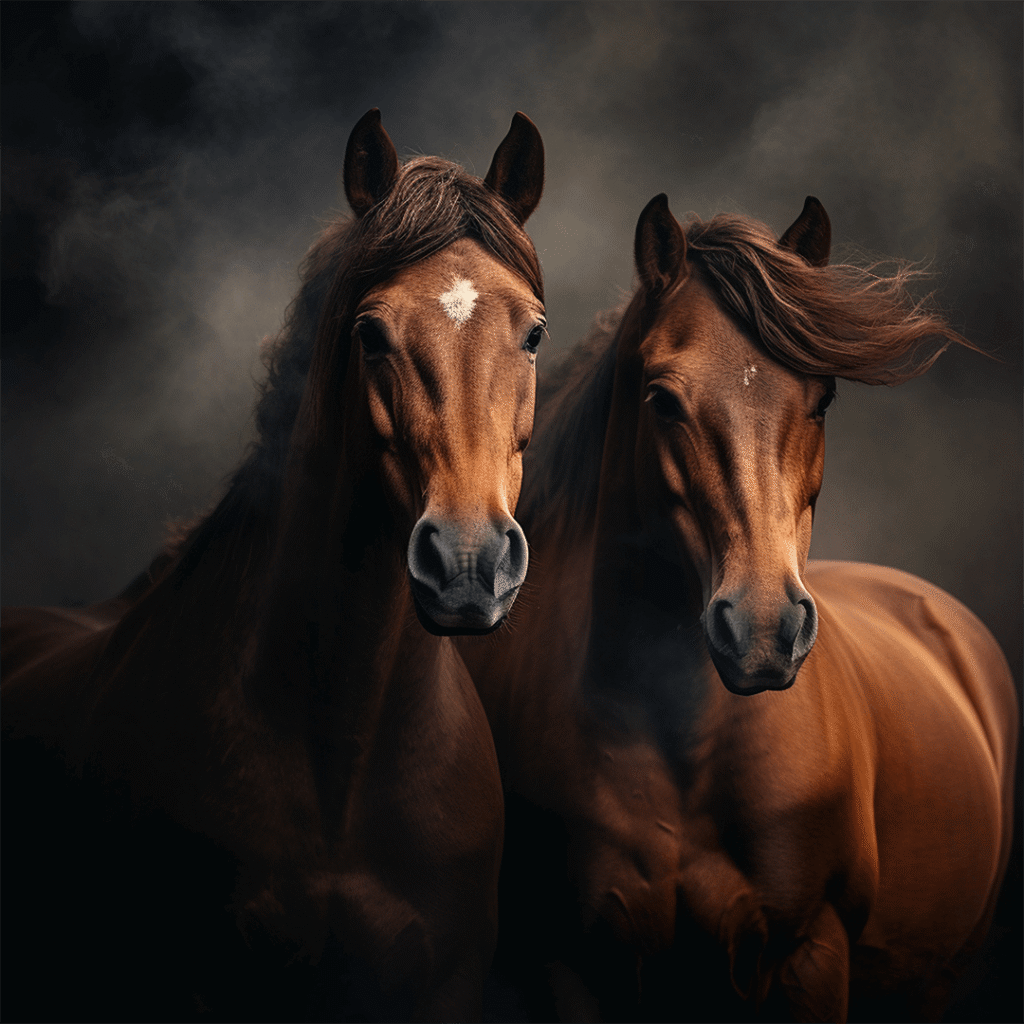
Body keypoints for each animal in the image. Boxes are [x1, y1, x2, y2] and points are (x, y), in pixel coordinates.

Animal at [461, 194, 1017, 1022]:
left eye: (822, 398)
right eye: (662, 399)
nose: (762, 631)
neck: (682, 744)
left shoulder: (808, 953)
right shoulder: (572, 967)